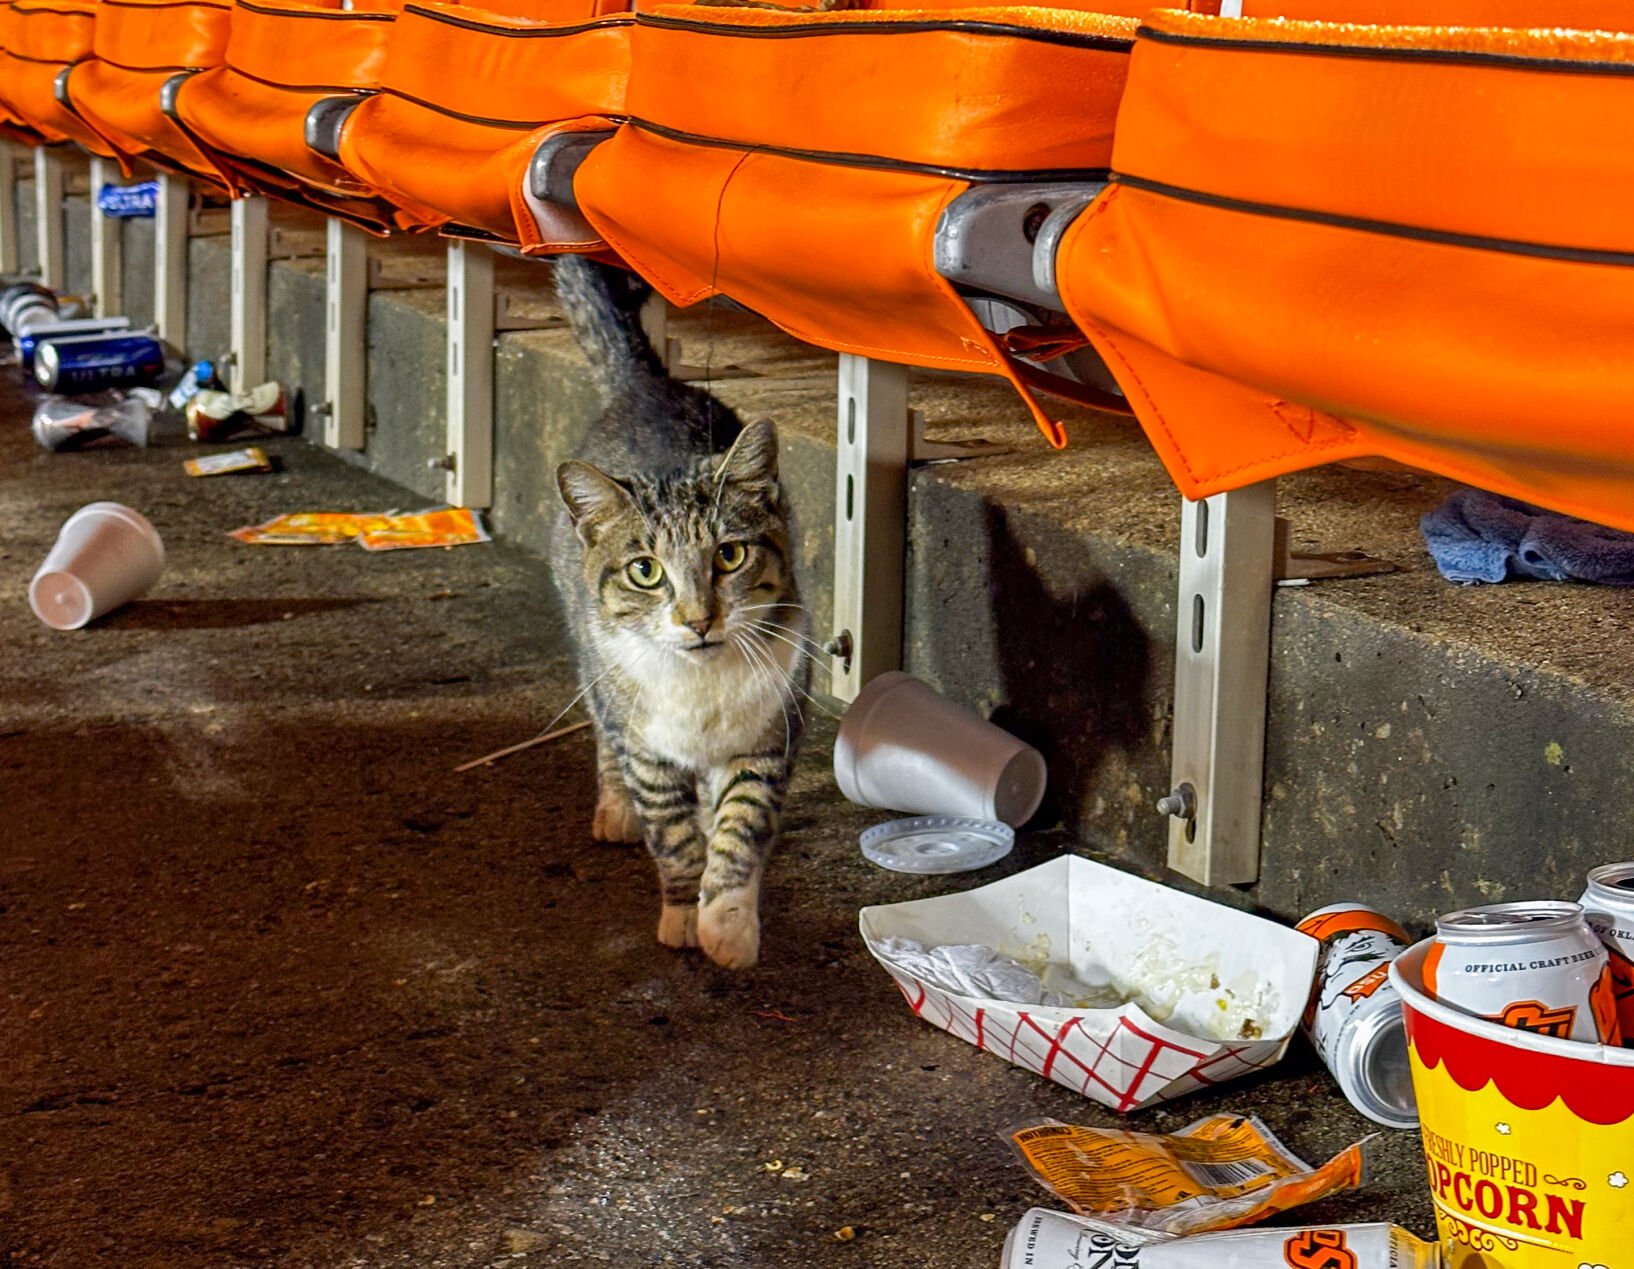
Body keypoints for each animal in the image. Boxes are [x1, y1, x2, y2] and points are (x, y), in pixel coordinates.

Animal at [545, 258, 807, 973]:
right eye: (645, 571)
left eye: (730, 555)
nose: (698, 619)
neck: (701, 684)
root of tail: (649, 383)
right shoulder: (649, 752)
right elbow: (676, 837)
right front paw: (686, 913)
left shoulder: (764, 738)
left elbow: (740, 827)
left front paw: (728, 923)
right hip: (593, 665)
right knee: (601, 731)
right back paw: (614, 809)